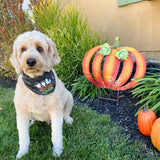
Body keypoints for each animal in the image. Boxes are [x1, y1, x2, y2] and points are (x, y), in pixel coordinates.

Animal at [10, 30, 74, 159]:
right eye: (23, 49)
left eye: (39, 48)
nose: (30, 61)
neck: (37, 82)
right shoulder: (21, 113)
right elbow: (23, 136)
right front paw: (22, 152)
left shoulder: (55, 112)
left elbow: (56, 135)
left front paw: (57, 151)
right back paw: (31, 123)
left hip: (69, 97)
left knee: (66, 113)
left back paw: (68, 119)